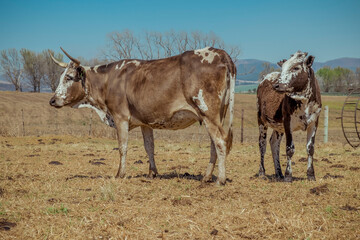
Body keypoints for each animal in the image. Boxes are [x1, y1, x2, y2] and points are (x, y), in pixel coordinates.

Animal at [50, 47, 236, 186]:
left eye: (69, 77)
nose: (52, 100)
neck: (108, 81)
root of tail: (220, 53)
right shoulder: (145, 123)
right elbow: (149, 147)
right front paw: (152, 173)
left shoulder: (120, 118)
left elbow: (122, 147)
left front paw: (120, 173)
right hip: (216, 115)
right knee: (214, 144)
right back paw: (207, 176)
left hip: (208, 113)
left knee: (220, 142)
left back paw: (220, 179)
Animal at [258, 51, 322, 182]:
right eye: (283, 68)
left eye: (296, 68)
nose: (276, 85)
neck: (305, 102)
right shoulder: (288, 123)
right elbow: (289, 149)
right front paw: (288, 175)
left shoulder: (314, 123)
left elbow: (310, 149)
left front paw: (311, 175)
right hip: (261, 120)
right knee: (262, 144)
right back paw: (262, 172)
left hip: (279, 127)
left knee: (274, 143)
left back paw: (279, 173)